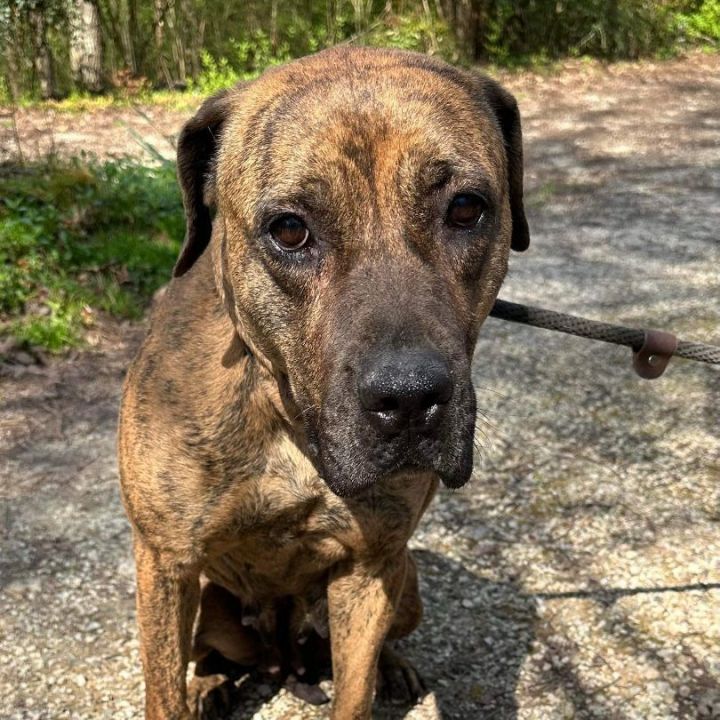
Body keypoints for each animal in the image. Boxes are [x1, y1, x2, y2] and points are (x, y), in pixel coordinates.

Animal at [118, 46, 528, 720]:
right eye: (289, 230)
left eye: (467, 208)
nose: (409, 398)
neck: (287, 421)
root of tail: (284, 655)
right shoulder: (165, 564)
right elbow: (163, 690)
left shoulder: (369, 568)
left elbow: (354, 691)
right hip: (206, 601)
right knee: (205, 653)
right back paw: (210, 683)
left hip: (405, 583)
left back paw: (395, 668)